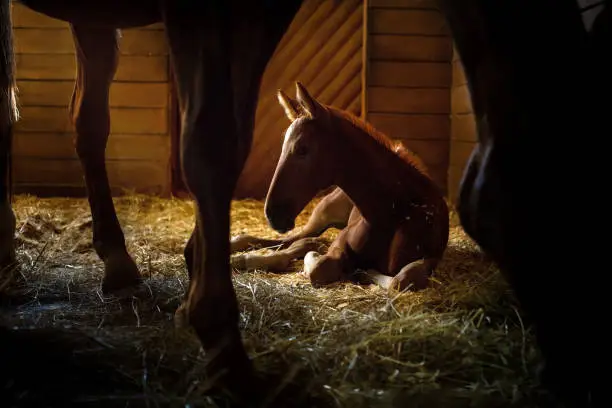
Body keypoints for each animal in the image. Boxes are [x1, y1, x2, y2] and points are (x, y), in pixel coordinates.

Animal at [232, 83, 448, 294]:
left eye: (302, 149)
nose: (272, 214)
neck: (391, 210)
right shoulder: (339, 244)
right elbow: (319, 267)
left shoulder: (431, 257)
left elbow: (400, 281)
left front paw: (363, 270)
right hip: (321, 216)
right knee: (290, 240)